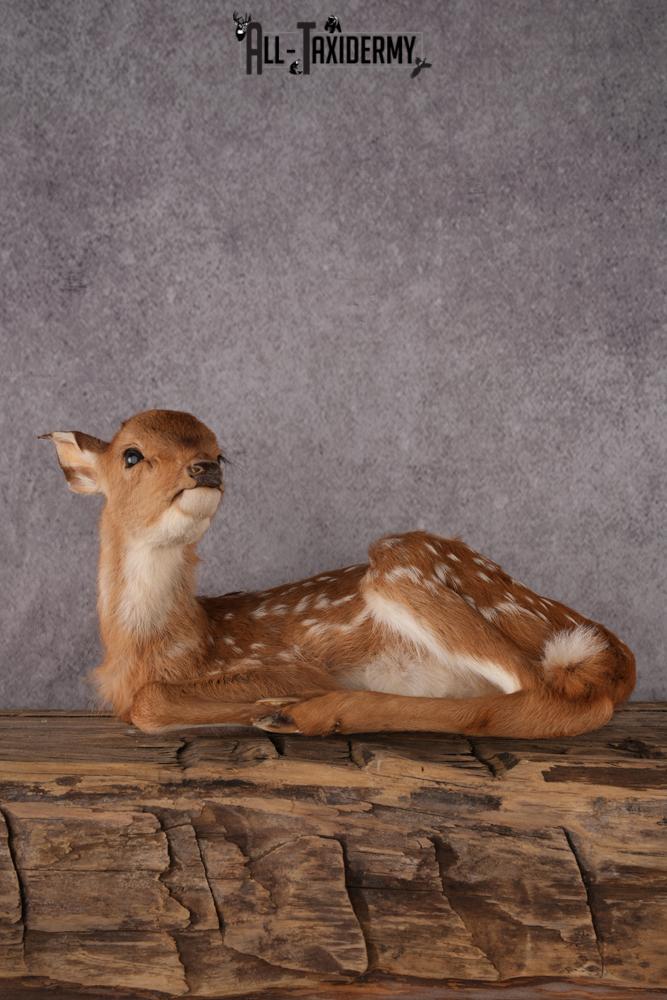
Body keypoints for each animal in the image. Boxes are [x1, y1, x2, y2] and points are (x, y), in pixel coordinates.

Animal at [41, 409, 635, 739]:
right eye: (131, 455)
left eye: (220, 453)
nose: (204, 468)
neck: (163, 646)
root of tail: (616, 650)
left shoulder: (288, 665)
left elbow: (148, 703)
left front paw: (263, 706)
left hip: (400, 563)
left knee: (544, 698)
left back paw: (305, 715)